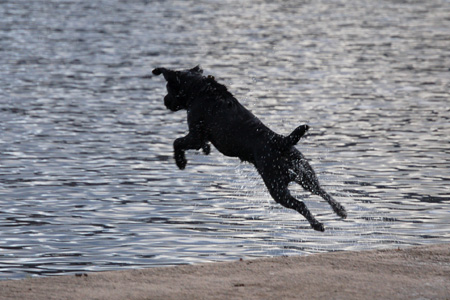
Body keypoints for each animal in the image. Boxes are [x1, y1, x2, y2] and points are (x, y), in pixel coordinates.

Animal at [153, 66, 346, 232]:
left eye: (168, 89)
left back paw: (317, 224)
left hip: (276, 186)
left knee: (301, 204)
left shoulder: (195, 134)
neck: (200, 90)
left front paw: (181, 162)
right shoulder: (200, 137)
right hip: (304, 173)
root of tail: (280, 141)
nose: (165, 101)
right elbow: (201, 144)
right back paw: (340, 210)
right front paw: (205, 150)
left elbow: (177, 142)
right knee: (321, 190)